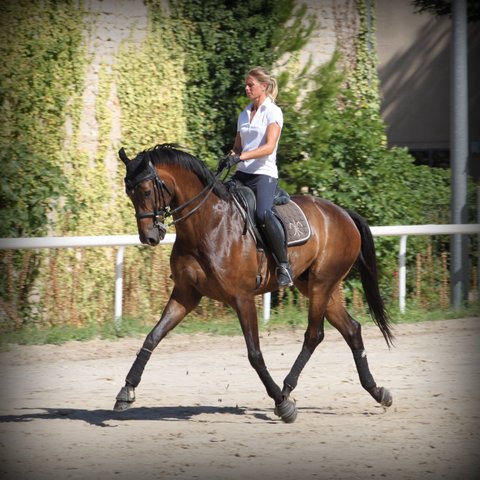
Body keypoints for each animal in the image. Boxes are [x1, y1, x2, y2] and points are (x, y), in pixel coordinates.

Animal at [113, 143, 394, 424]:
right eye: (129, 192)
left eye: (146, 190)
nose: (149, 236)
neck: (207, 223)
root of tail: (343, 213)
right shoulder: (186, 294)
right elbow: (153, 337)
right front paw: (126, 391)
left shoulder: (242, 298)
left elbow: (255, 354)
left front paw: (282, 404)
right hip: (319, 287)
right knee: (352, 329)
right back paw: (377, 391)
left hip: (321, 285)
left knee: (314, 335)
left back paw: (287, 389)